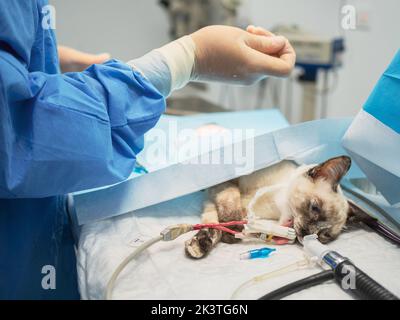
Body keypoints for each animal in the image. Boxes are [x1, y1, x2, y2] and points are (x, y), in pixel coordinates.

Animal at [184, 156, 362, 260]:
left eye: (325, 235)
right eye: (314, 207)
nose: (307, 234)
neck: (274, 206)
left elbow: (215, 224)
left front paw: (205, 243)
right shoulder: (223, 185)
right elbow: (223, 215)